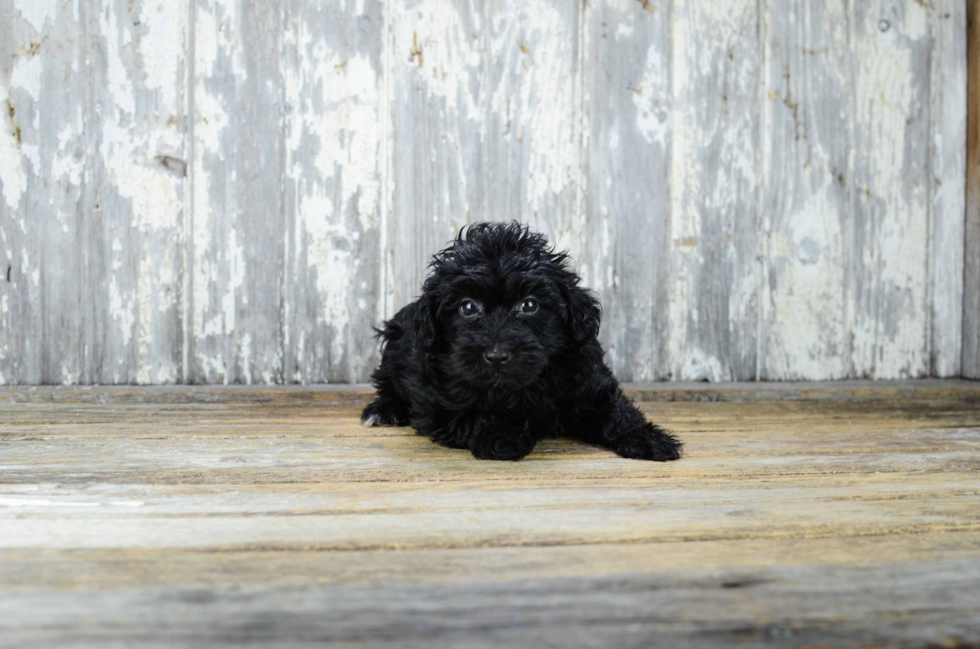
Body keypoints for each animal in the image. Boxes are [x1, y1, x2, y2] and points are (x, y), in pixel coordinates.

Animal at [360, 223, 680, 460]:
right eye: (467, 307)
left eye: (529, 305)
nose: (497, 356)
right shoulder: (440, 404)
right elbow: (478, 413)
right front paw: (501, 436)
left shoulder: (588, 381)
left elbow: (614, 409)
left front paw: (647, 437)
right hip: (394, 348)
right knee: (388, 383)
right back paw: (383, 410)